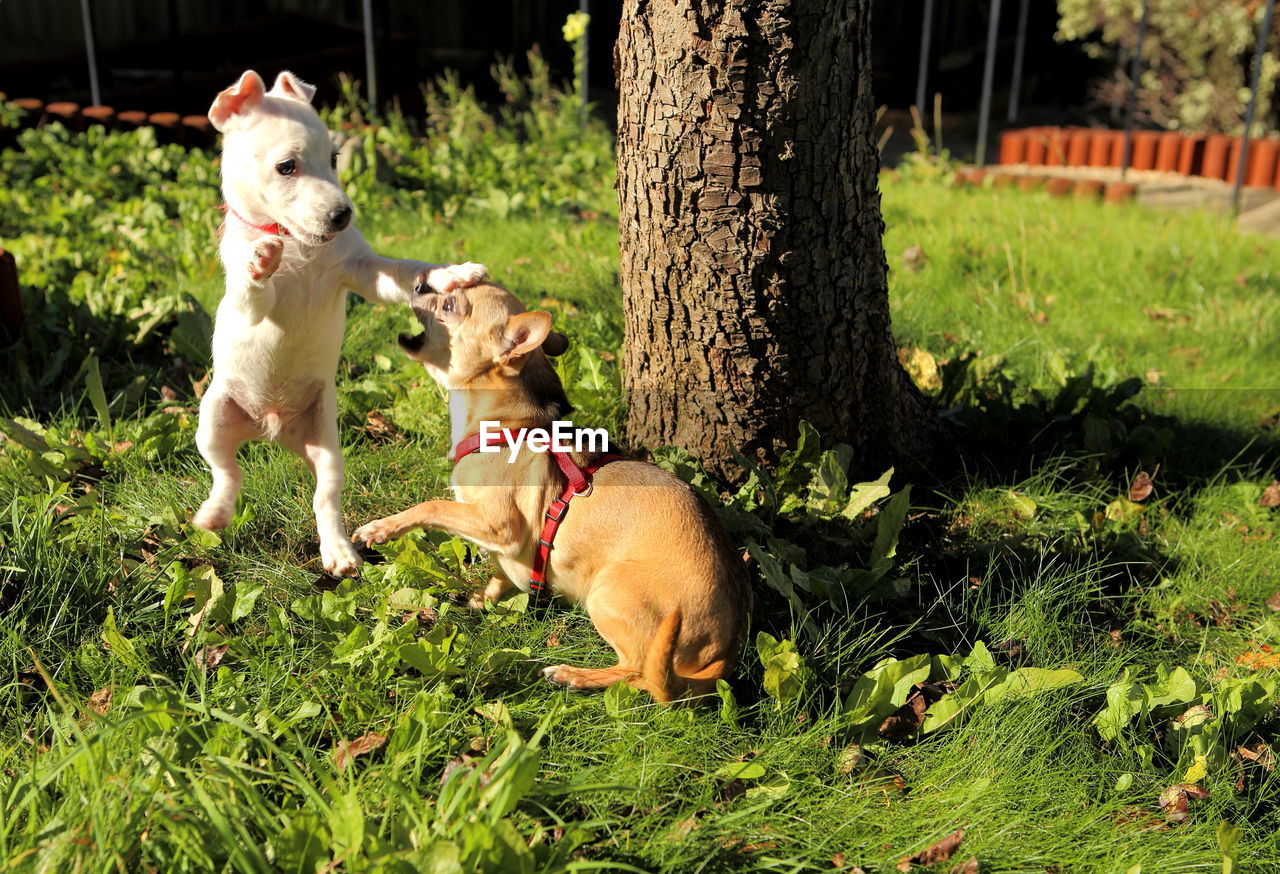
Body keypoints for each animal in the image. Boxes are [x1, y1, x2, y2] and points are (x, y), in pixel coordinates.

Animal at [193, 71, 483, 578]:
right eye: (286, 167)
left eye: (333, 158)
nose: (343, 215)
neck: (298, 245)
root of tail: (271, 428)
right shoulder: (251, 307)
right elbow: (252, 291)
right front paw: (259, 260)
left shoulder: (364, 271)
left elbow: (409, 270)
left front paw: (452, 274)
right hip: (212, 418)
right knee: (227, 471)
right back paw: (216, 513)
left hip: (327, 445)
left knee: (324, 496)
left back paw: (340, 552)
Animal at [350, 284, 747, 701]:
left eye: (449, 304)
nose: (418, 285)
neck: (507, 424)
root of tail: (725, 653)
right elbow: (498, 574)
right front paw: (483, 600)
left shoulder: (498, 525)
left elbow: (431, 505)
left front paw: (381, 528)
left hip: (607, 594)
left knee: (639, 674)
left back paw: (575, 676)